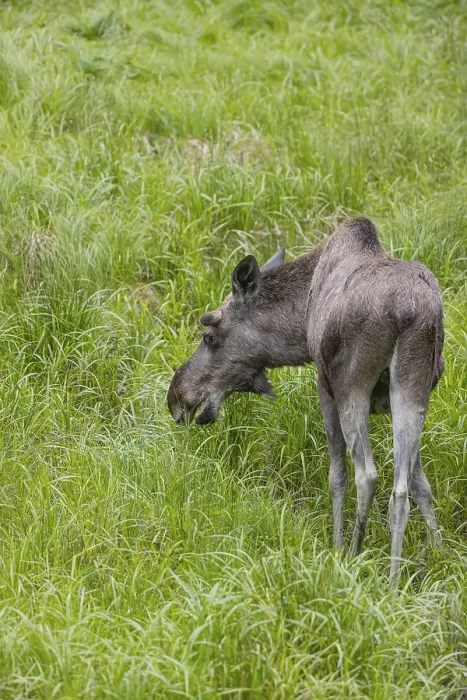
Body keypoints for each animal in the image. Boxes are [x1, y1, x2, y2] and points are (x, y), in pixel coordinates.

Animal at [167, 217, 444, 584]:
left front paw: (338, 547)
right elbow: (420, 484)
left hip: (351, 387)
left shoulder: (324, 387)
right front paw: (442, 553)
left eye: (210, 336)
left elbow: (337, 477)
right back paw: (394, 581)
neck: (299, 325)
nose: (176, 396)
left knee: (366, 475)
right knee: (401, 491)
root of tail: (408, 312)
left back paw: (354, 554)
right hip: (413, 386)